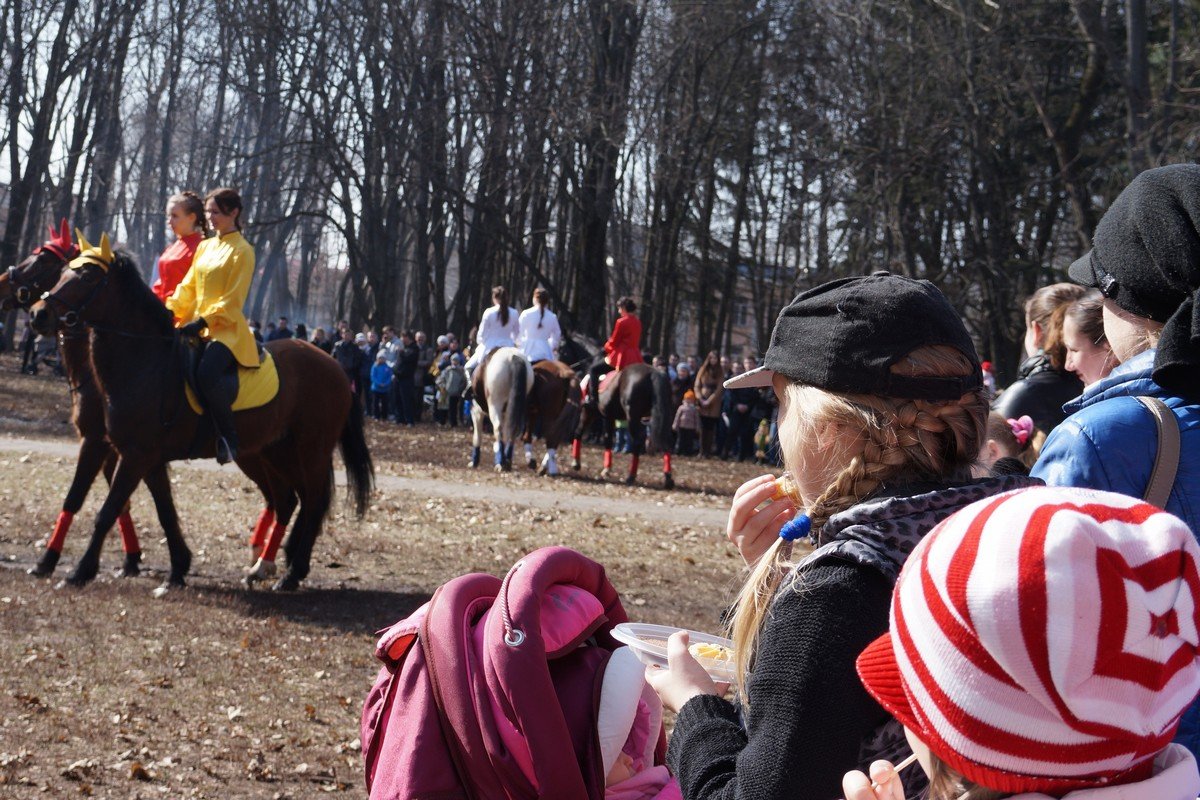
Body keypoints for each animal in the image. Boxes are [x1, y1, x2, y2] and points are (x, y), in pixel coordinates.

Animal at [0, 221, 159, 578]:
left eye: (42, 261)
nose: (1, 282)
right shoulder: (113, 446)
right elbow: (120, 499)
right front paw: (131, 558)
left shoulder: (102, 441)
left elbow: (103, 497)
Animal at [30, 250, 372, 594]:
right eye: (62, 272)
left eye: (87, 277)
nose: (38, 314)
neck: (144, 363)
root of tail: (335, 366)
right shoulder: (139, 456)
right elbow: (161, 511)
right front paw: (177, 567)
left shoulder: (132, 454)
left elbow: (108, 510)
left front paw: (81, 570)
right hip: (276, 452)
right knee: (289, 500)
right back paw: (265, 565)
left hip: (309, 450)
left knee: (313, 501)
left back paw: (290, 573)